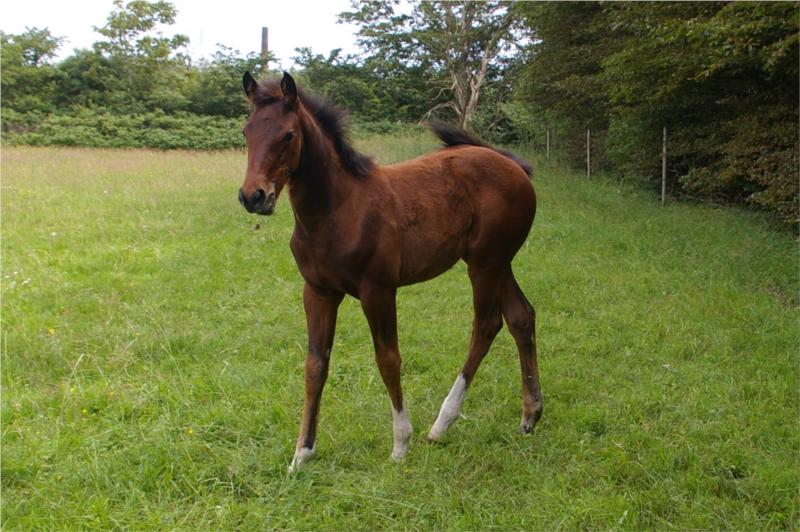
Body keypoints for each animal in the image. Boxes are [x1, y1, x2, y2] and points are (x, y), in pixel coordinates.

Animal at [234, 71, 540, 474]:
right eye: (246, 131)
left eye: (287, 135)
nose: (253, 196)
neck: (337, 210)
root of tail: (514, 166)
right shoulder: (317, 291)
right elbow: (315, 365)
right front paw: (302, 453)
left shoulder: (378, 289)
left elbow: (388, 359)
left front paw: (400, 444)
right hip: (498, 261)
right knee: (521, 316)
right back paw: (530, 415)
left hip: (485, 264)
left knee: (486, 325)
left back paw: (440, 425)